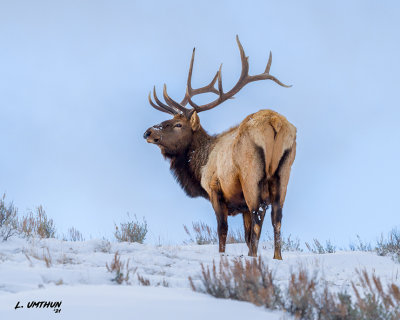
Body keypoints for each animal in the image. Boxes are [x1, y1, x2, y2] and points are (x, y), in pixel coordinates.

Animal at [145, 36, 296, 258]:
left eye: (178, 124)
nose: (148, 132)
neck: (199, 166)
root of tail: (274, 122)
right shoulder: (241, 206)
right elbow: (245, 234)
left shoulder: (215, 189)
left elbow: (222, 229)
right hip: (283, 173)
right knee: (277, 218)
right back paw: (277, 257)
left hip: (251, 175)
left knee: (258, 214)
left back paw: (253, 257)